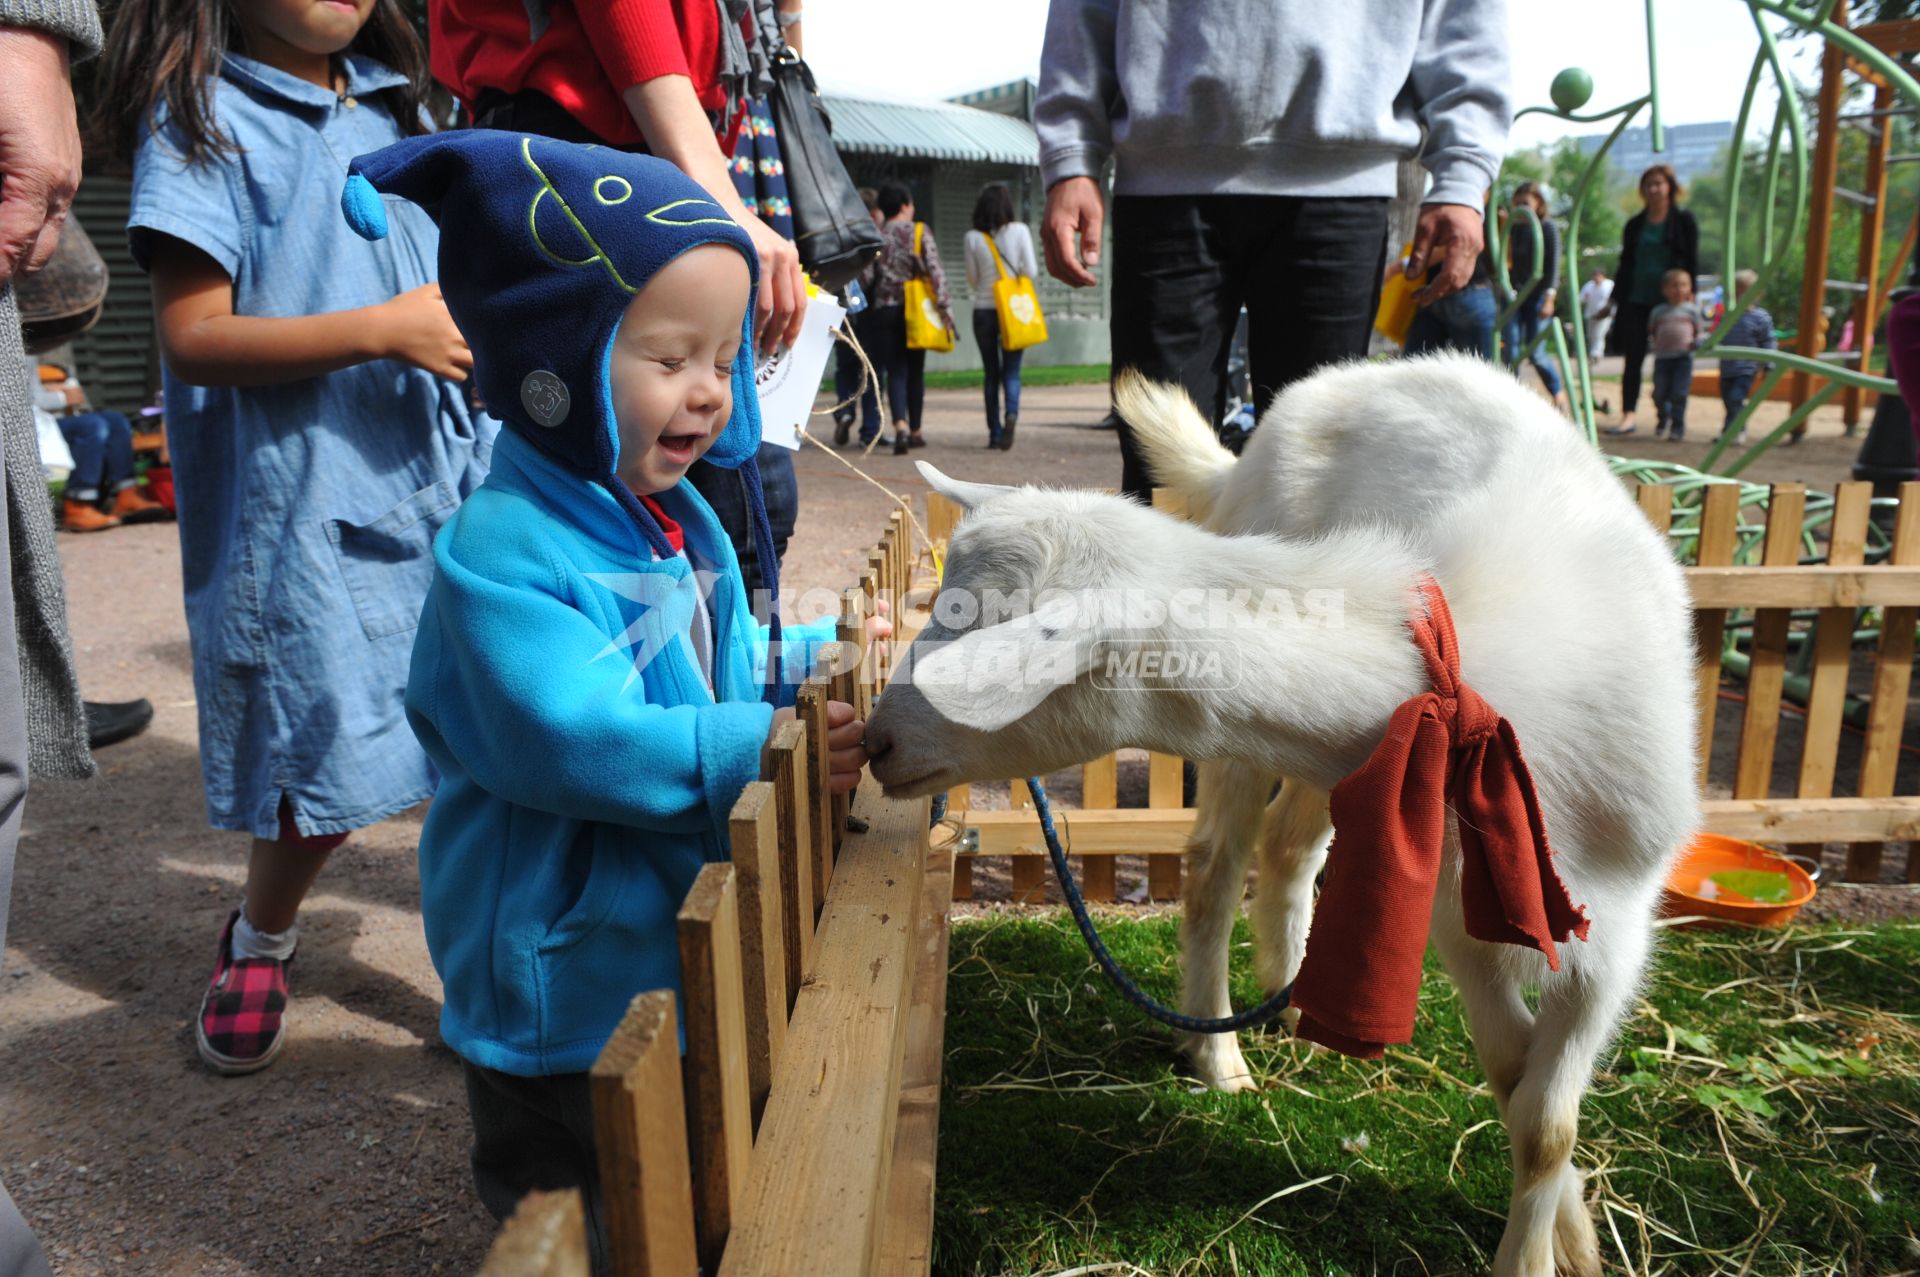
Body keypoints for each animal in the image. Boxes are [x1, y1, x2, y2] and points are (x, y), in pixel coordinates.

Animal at [867, 351, 1697, 1275]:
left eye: (989, 636)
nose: (872, 742)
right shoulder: (1461, 920)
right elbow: (1522, 1090)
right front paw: (1563, 1236)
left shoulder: (1613, 928)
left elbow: (1541, 1115)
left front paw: (1561, 1237)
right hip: (1247, 739)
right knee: (1217, 864)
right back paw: (1219, 1051)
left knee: (1293, 844)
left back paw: (1290, 995)